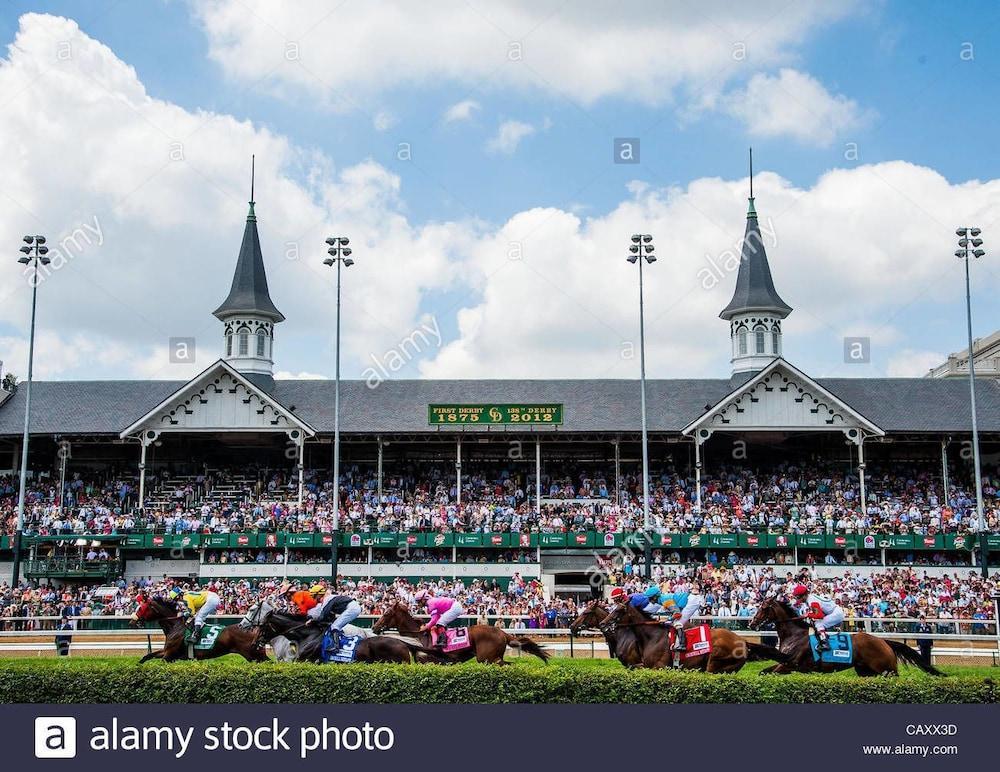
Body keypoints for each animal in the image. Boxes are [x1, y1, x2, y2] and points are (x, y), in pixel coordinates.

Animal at [133, 596, 268, 664]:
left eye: (142, 608)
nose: (132, 620)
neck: (175, 626)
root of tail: (255, 629)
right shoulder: (167, 652)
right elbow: (148, 655)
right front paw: (139, 665)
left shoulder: (169, 655)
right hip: (257, 656)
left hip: (254, 656)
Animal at [372, 604, 552, 664]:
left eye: (387, 613)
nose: (374, 627)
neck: (419, 637)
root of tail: (503, 632)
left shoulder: (431, 662)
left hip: (488, 658)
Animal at [600, 596, 788, 668]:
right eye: (612, 607)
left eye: (619, 611)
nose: (603, 623)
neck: (652, 637)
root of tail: (743, 641)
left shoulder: (658, 667)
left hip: (714, 664)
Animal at [752, 596, 944, 676]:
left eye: (763, 608)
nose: (752, 623)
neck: (795, 636)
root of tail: (883, 641)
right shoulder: (784, 664)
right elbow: (763, 672)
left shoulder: (790, 665)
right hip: (865, 671)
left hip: (887, 671)